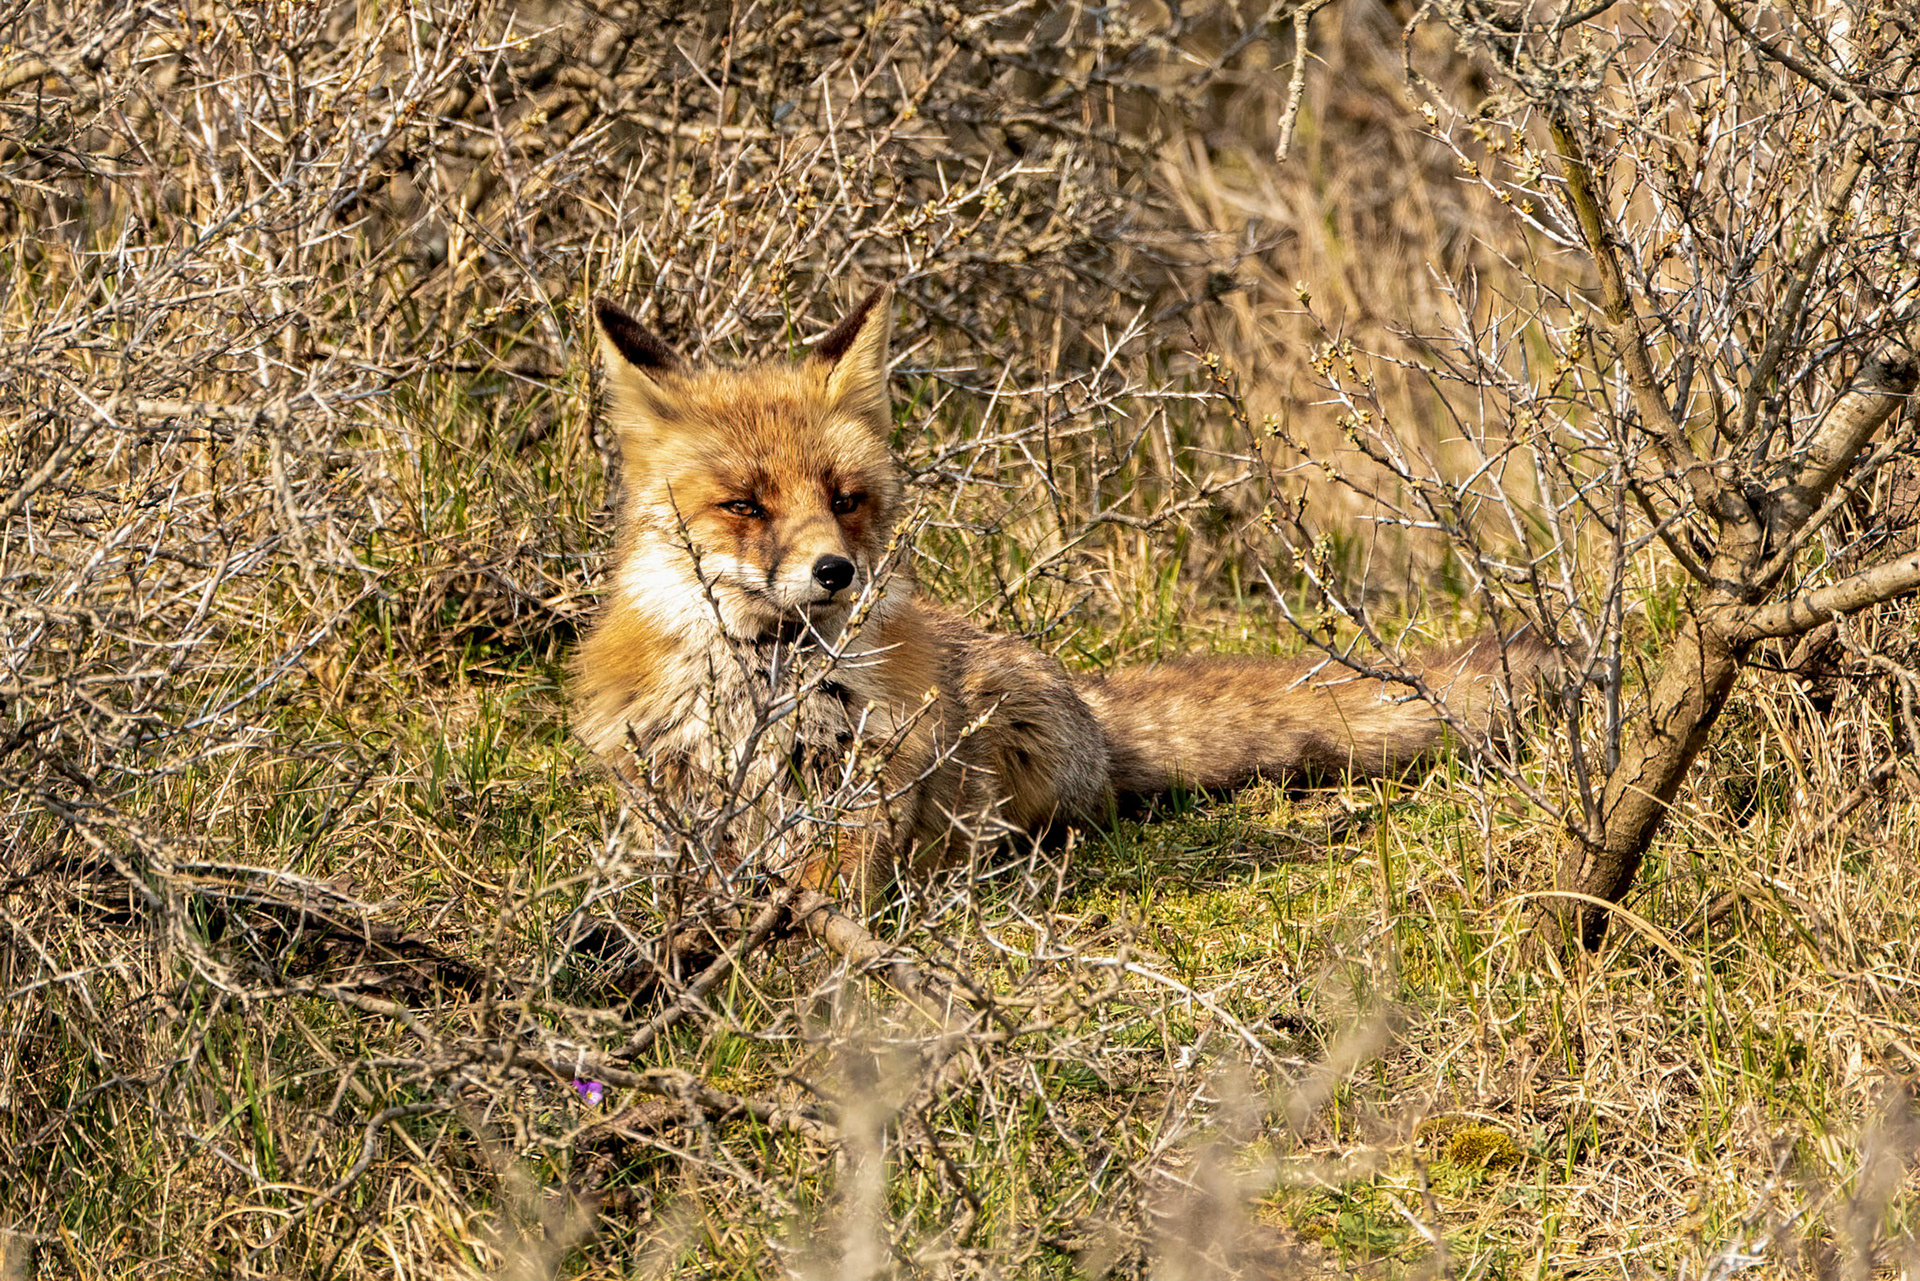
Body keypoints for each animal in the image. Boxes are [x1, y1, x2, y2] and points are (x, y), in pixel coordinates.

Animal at [573, 286, 1550, 895]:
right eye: (745, 504)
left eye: (845, 499)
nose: (835, 572)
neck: (766, 695)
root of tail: (1087, 701)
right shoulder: (668, 805)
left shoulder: (863, 799)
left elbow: (822, 891)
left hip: (1016, 724)